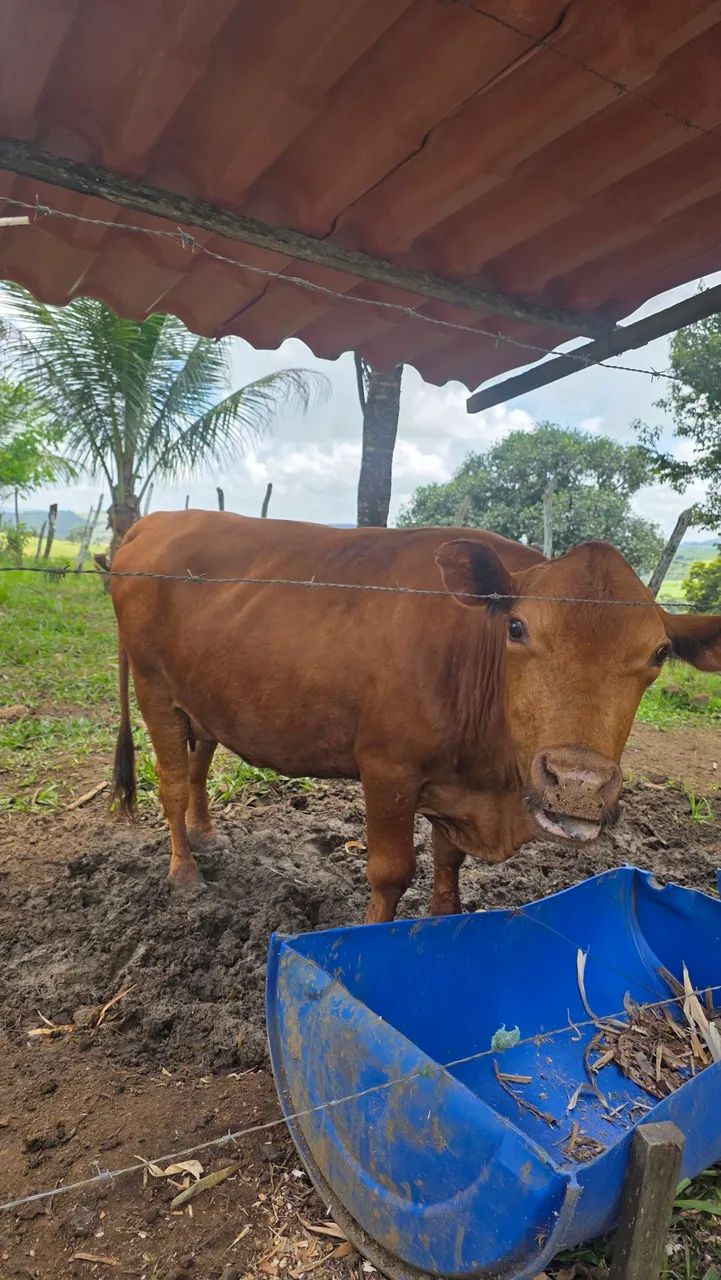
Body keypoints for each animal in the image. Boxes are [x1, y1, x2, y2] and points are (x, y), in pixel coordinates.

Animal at [109, 511, 721, 922]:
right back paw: (184, 872)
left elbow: (448, 862)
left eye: (659, 653)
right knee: (170, 782)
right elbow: (391, 872)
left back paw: (206, 835)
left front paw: (443, 920)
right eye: (517, 627)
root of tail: (155, 520)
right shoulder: (387, 770)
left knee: (198, 766)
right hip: (153, 688)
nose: (578, 782)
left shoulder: (454, 787)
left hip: (204, 699)